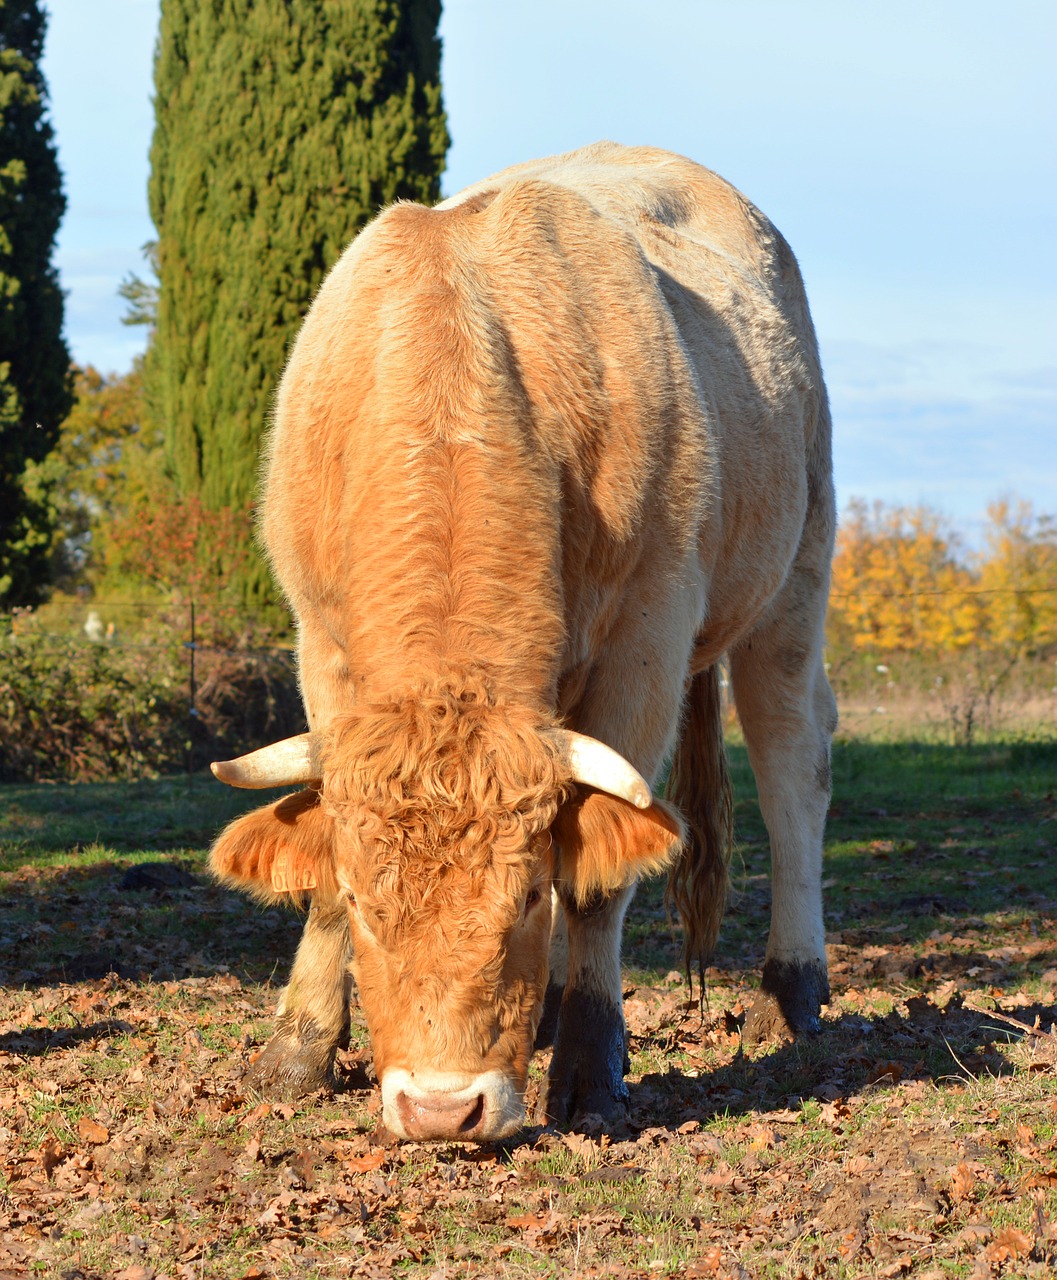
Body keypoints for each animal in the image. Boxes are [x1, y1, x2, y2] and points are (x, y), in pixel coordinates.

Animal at [206, 142, 834, 1141]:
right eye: (368, 906)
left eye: (529, 895)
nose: (440, 1107)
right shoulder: (322, 646)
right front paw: (299, 1048)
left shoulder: (647, 642)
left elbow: (600, 878)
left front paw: (591, 1062)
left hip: (794, 575)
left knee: (791, 766)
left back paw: (793, 986)